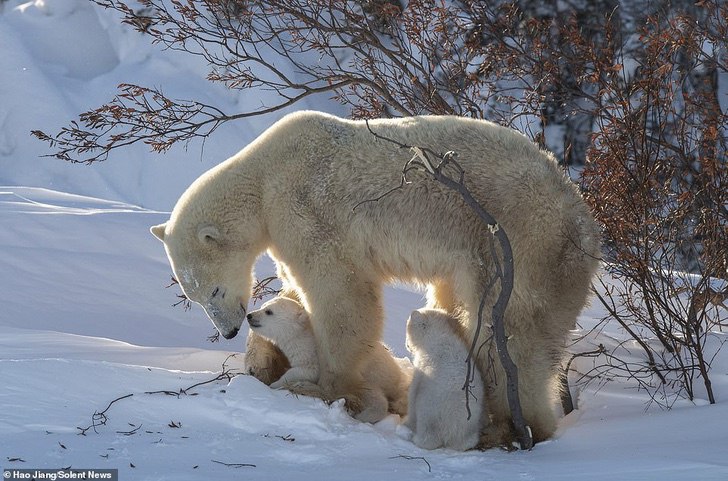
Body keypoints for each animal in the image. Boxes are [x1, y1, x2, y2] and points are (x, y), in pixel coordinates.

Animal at [246, 294, 410, 422]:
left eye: (268, 311)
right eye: (263, 305)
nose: (250, 315)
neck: (303, 333)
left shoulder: (315, 354)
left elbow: (307, 370)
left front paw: (275, 384)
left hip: (364, 376)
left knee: (375, 398)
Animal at [404, 308, 484, 450]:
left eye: (408, 328)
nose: (407, 345)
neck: (439, 336)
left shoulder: (423, 365)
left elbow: (413, 392)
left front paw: (407, 422)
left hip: (430, 409)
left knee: (428, 434)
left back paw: (416, 438)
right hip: (470, 419)